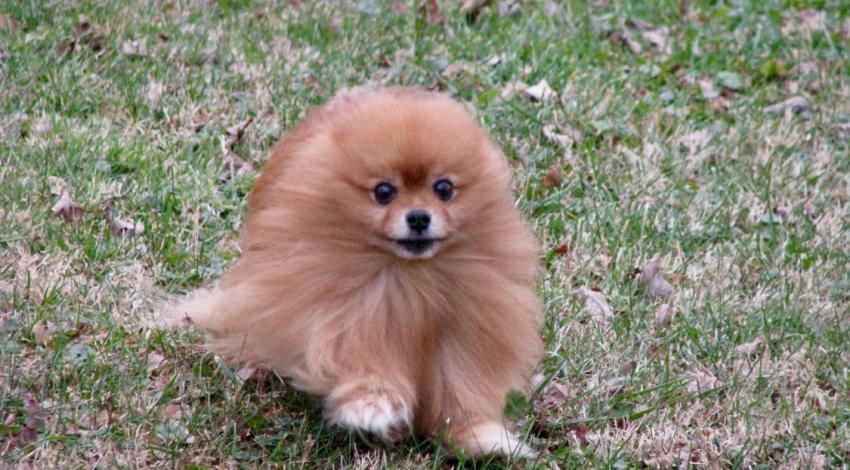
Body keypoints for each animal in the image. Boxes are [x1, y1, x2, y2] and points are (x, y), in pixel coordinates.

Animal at [174, 86, 544, 458]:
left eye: (444, 189)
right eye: (384, 192)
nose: (419, 217)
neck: (411, 276)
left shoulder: (464, 330)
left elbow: (459, 384)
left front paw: (478, 435)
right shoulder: (350, 313)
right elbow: (362, 362)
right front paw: (372, 405)